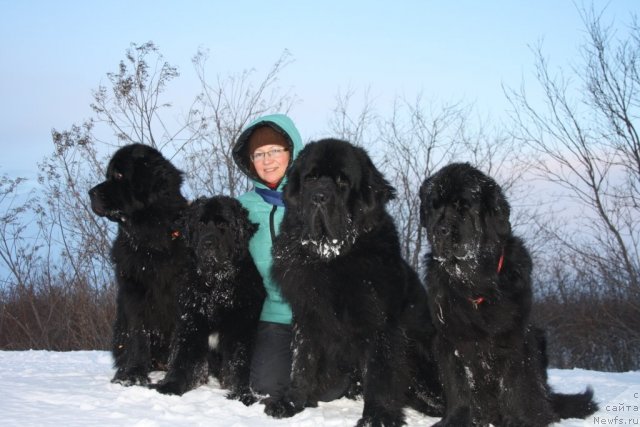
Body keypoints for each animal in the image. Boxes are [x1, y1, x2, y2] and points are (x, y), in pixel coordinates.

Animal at [90, 145, 190, 388]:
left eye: (118, 175)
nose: (90, 193)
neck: (150, 239)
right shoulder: (133, 290)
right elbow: (138, 333)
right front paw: (132, 375)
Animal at [152, 197, 264, 404]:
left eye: (223, 224)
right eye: (200, 224)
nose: (208, 243)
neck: (215, 288)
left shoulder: (241, 329)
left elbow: (240, 363)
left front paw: (242, 394)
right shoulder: (190, 325)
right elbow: (182, 359)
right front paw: (170, 386)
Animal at [262, 139, 442, 426]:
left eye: (342, 181)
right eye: (311, 178)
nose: (319, 197)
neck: (331, 258)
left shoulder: (380, 323)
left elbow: (381, 372)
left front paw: (378, 416)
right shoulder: (308, 313)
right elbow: (302, 361)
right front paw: (291, 401)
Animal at [420, 162, 596, 426]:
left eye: (463, 206)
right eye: (434, 206)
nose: (439, 230)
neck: (473, 281)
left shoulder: (514, 336)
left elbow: (515, 385)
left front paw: (522, 419)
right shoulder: (449, 338)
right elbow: (458, 384)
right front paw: (455, 419)